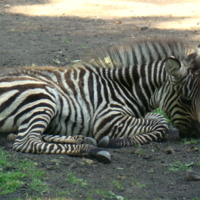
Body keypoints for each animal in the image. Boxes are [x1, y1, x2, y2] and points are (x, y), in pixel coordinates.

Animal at [1, 37, 200, 162]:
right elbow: (160, 125)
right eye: (186, 100)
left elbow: (160, 120)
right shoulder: (108, 119)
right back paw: (93, 149)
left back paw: (82, 139)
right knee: (26, 142)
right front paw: (111, 141)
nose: (196, 134)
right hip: (42, 98)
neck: (125, 88)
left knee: (21, 137)